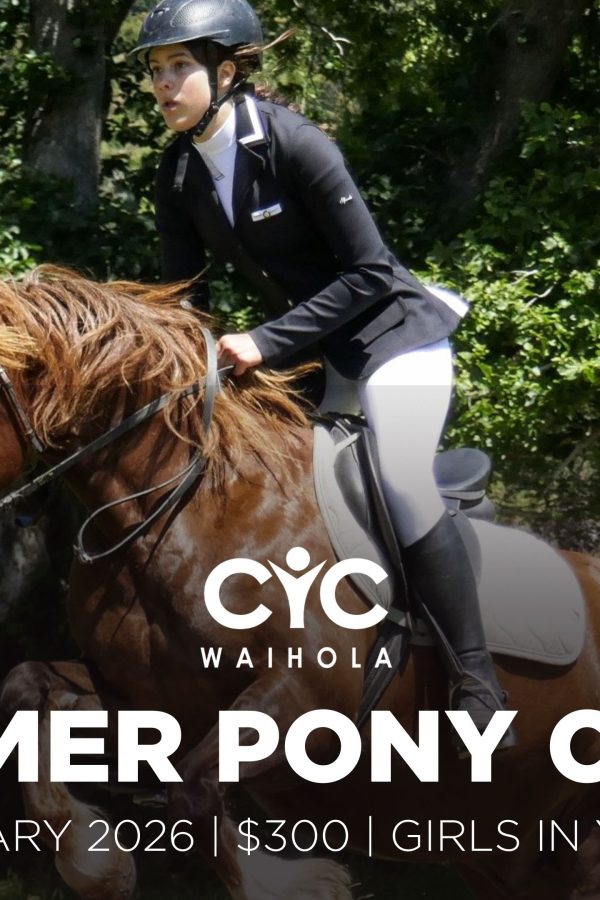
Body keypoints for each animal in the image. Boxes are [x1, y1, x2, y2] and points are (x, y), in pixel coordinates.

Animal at [1, 265, 600, 900]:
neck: (171, 513)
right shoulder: (151, 702)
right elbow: (25, 690)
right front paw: (96, 864)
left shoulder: (309, 701)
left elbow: (194, 792)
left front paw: (303, 882)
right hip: (500, 855)